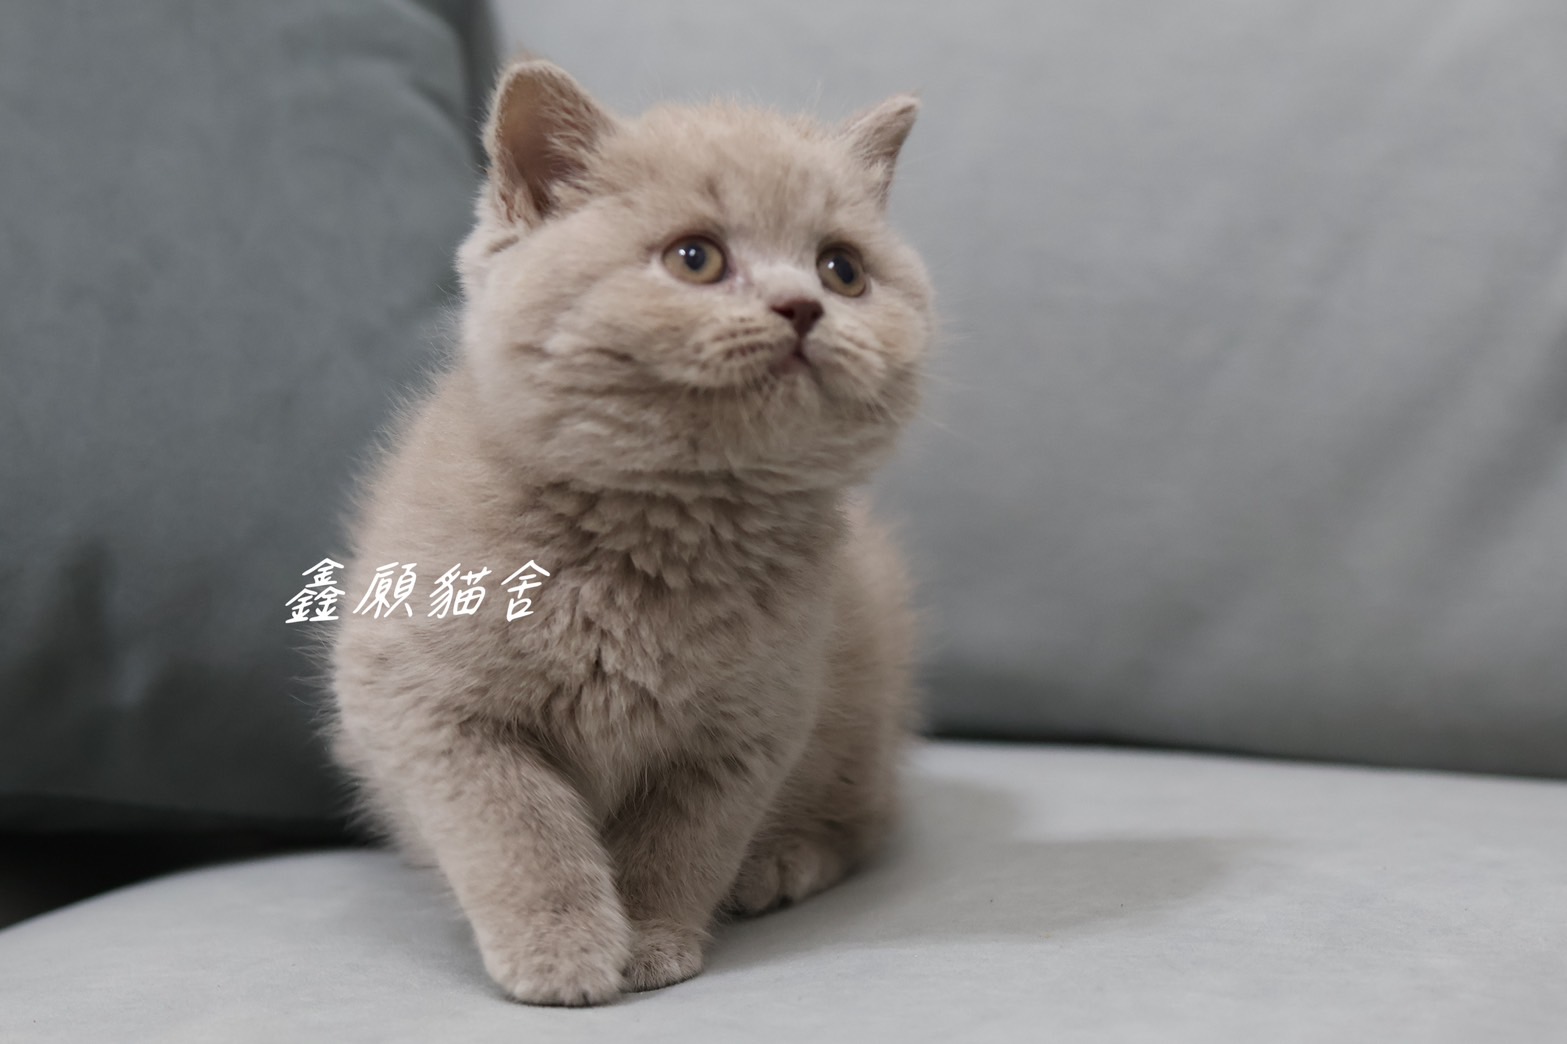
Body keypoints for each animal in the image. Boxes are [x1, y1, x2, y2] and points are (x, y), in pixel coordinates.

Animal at [329, 58, 933, 1007]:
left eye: (842, 270)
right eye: (696, 258)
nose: (802, 307)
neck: (661, 532)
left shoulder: (744, 734)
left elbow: (680, 845)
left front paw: (651, 942)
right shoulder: (428, 707)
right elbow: (520, 831)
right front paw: (561, 953)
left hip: (860, 713)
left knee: (863, 821)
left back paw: (780, 864)